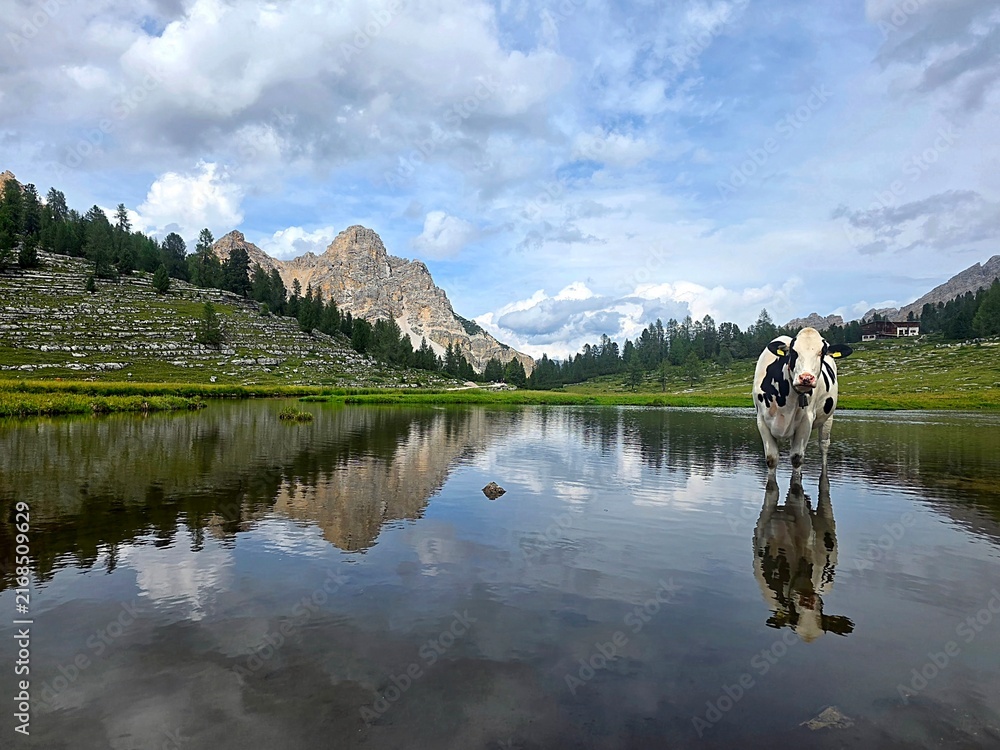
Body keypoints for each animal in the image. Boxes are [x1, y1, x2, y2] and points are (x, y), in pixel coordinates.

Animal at [752, 327, 852, 476]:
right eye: (793, 352)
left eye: (822, 353)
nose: (806, 378)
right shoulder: (761, 419)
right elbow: (771, 459)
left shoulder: (806, 420)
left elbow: (797, 458)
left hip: (828, 417)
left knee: (824, 445)